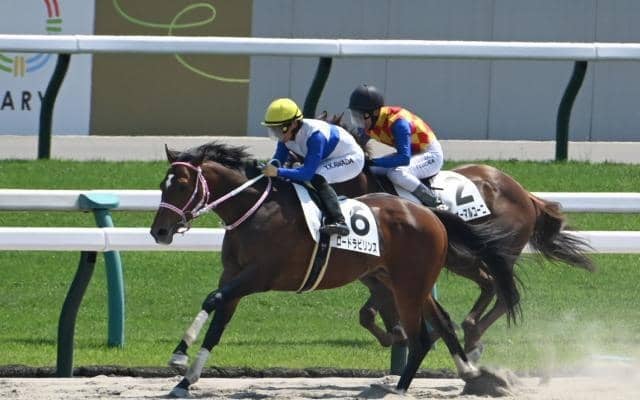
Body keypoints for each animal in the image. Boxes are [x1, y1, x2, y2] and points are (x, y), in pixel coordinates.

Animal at [149, 141, 520, 397]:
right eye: (162, 185)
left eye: (181, 186)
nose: (159, 232)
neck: (254, 211)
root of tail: (429, 213)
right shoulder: (233, 276)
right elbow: (218, 323)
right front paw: (185, 381)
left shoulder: (259, 276)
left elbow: (213, 299)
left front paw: (179, 356)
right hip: (405, 282)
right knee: (441, 322)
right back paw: (470, 372)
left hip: (408, 285)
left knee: (422, 336)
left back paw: (401, 389)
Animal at [324, 111, 595, 360]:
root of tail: (524, 194)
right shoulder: (374, 269)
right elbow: (374, 312)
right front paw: (401, 334)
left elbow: (375, 310)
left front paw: (406, 334)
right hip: (463, 258)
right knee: (490, 284)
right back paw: (466, 327)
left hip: (495, 252)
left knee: (506, 292)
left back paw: (472, 333)